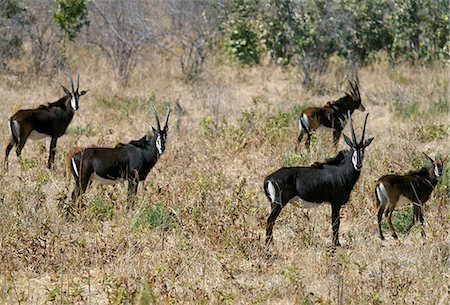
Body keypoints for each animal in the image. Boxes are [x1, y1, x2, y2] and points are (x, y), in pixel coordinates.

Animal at [264, 110, 372, 246]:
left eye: (363, 150)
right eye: (353, 149)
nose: (358, 165)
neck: (341, 171)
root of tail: (269, 178)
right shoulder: (335, 203)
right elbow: (335, 223)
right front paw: (336, 244)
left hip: (273, 204)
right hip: (279, 203)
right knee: (270, 220)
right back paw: (269, 245)